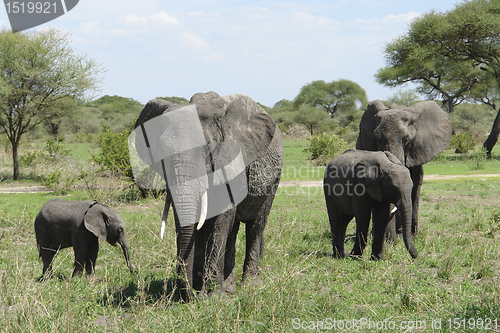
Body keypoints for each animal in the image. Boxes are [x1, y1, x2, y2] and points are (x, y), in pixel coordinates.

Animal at [131, 91, 284, 300]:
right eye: (162, 150)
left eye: (208, 147)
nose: (189, 294)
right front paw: (203, 291)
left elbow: (219, 221)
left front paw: (214, 296)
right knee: (233, 230)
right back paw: (230, 287)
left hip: (274, 176)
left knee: (256, 224)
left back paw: (250, 284)